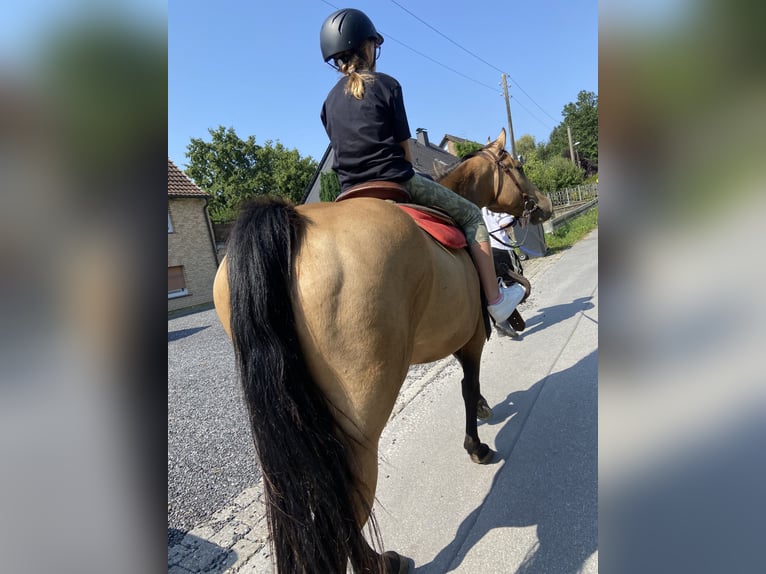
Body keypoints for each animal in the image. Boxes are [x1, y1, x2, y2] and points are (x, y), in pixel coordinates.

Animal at [213, 128, 556, 572]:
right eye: (516, 166)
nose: (544, 205)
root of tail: (292, 225)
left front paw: (482, 409)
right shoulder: (470, 338)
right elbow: (467, 386)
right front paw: (476, 445)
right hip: (359, 423)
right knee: (344, 505)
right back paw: (382, 563)